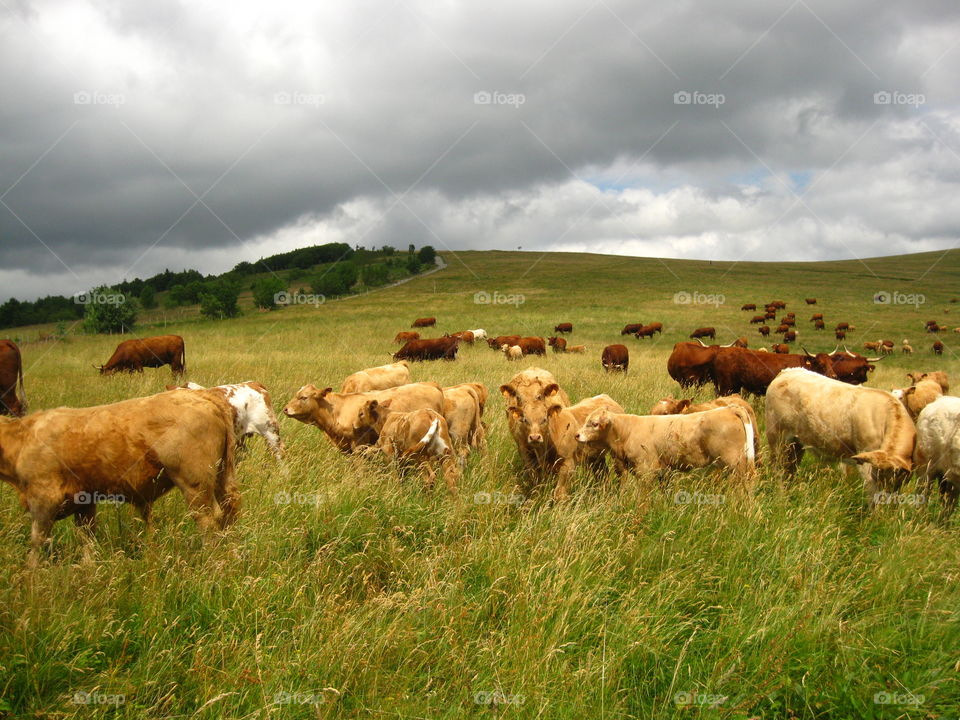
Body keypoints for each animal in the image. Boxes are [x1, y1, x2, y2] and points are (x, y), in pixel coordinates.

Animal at [0, 390, 237, 566]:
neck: (22, 439)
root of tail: (201, 396)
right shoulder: (84, 501)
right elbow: (87, 537)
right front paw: (89, 569)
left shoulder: (44, 498)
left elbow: (37, 540)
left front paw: (32, 574)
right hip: (220, 478)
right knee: (226, 514)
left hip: (195, 485)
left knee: (209, 520)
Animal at [575, 405, 756, 481]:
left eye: (594, 423)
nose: (576, 435)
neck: (627, 431)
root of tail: (729, 408)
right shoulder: (664, 472)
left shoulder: (645, 472)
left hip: (735, 463)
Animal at [765, 368, 915, 508]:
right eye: (877, 475)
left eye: (896, 477)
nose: (886, 495)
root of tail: (787, 372)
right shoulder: (866, 460)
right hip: (777, 439)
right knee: (778, 470)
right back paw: (781, 497)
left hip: (796, 444)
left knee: (790, 469)